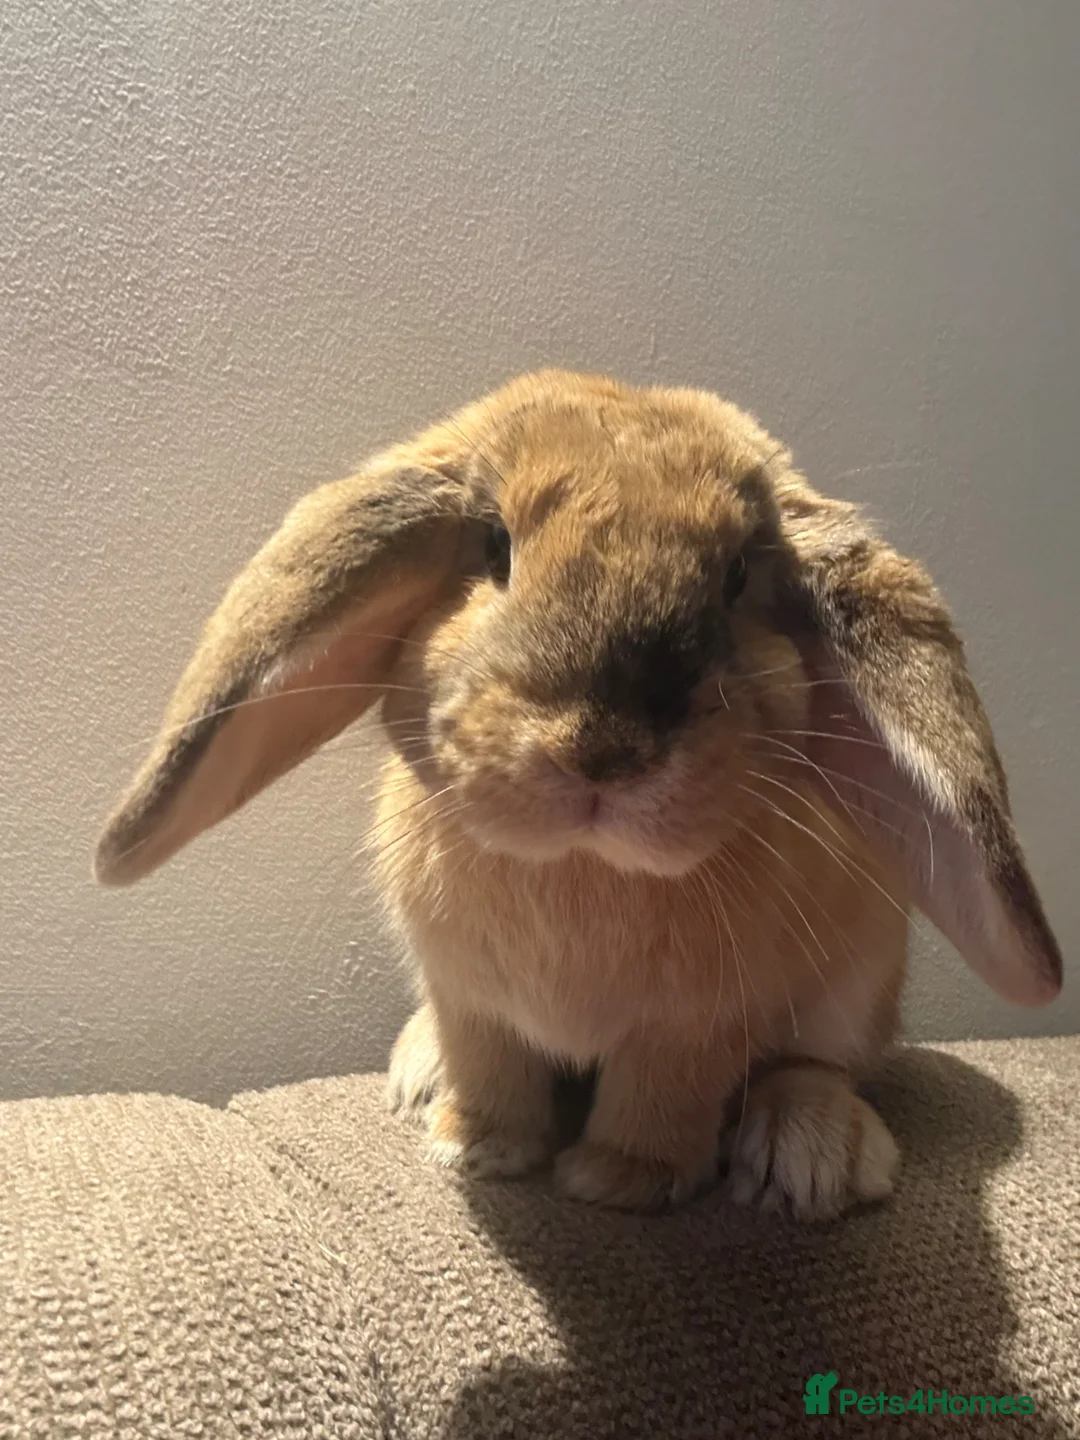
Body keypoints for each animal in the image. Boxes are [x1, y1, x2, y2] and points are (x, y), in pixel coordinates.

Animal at [96, 370, 1062, 1217]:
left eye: (737, 577)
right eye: (494, 544)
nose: (602, 751)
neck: (579, 864)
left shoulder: (694, 1027)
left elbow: (663, 1096)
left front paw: (621, 1181)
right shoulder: (470, 999)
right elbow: (490, 1067)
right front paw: (473, 1149)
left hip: (861, 983)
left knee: (820, 1066)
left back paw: (810, 1158)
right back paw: (420, 1073)